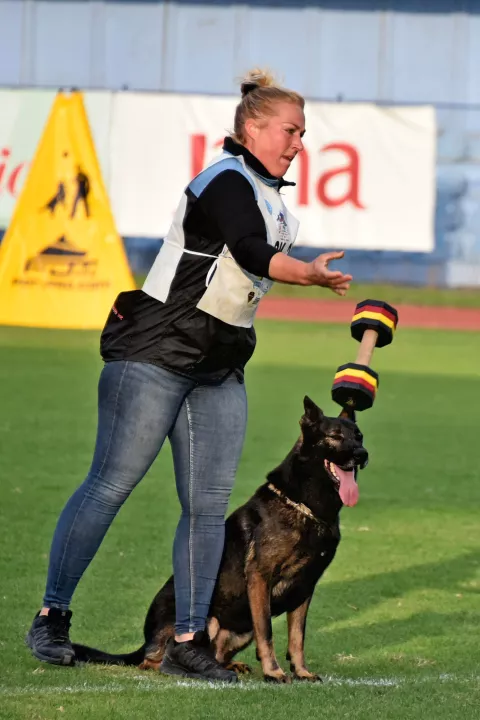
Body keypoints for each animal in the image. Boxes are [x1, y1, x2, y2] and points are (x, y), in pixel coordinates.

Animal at [74, 396, 368, 684]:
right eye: (335, 436)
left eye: (359, 436)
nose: (362, 454)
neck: (306, 505)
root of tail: (146, 641)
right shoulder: (260, 578)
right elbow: (267, 632)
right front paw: (274, 672)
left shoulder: (304, 587)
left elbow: (297, 638)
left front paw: (301, 671)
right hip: (207, 620)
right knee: (152, 660)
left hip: (241, 629)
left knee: (216, 654)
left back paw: (229, 665)